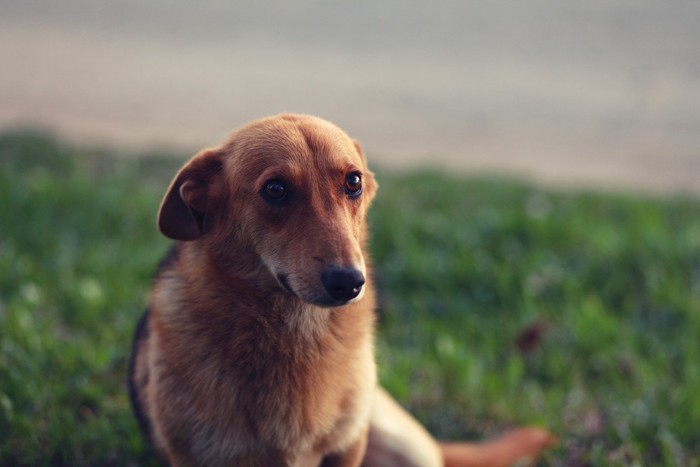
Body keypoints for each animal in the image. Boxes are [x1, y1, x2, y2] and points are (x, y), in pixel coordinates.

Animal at [129, 114, 556, 467]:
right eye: (275, 189)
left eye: (353, 181)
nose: (350, 282)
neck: (296, 331)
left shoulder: (348, 447)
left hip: (404, 445)